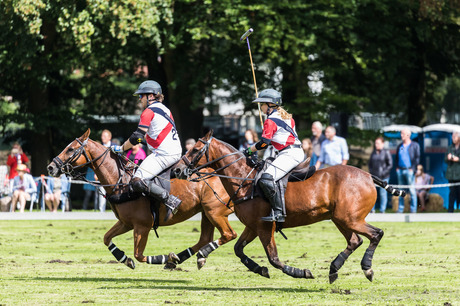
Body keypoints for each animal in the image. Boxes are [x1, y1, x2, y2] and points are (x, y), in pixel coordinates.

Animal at [47, 129, 237, 270]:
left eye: (71, 149)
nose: (51, 167)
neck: (121, 181)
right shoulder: (126, 223)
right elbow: (107, 238)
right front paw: (124, 258)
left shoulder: (142, 225)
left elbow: (139, 255)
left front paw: (165, 257)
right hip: (206, 212)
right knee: (205, 238)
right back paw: (186, 258)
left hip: (214, 211)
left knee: (229, 234)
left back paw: (187, 257)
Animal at [174, 130, 404, 284]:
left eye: (195, 149)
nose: (177, 170)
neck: (244, 178)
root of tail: (368, 176)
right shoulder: (253, 226)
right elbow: (238, 249)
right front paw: (259, 269)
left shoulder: (266, 226)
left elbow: (274, 258)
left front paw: (301, 272)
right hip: (341, 218)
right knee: (355, 240)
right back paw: (333, 269)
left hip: (351, 218)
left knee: (376, 234)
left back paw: (367, 269)